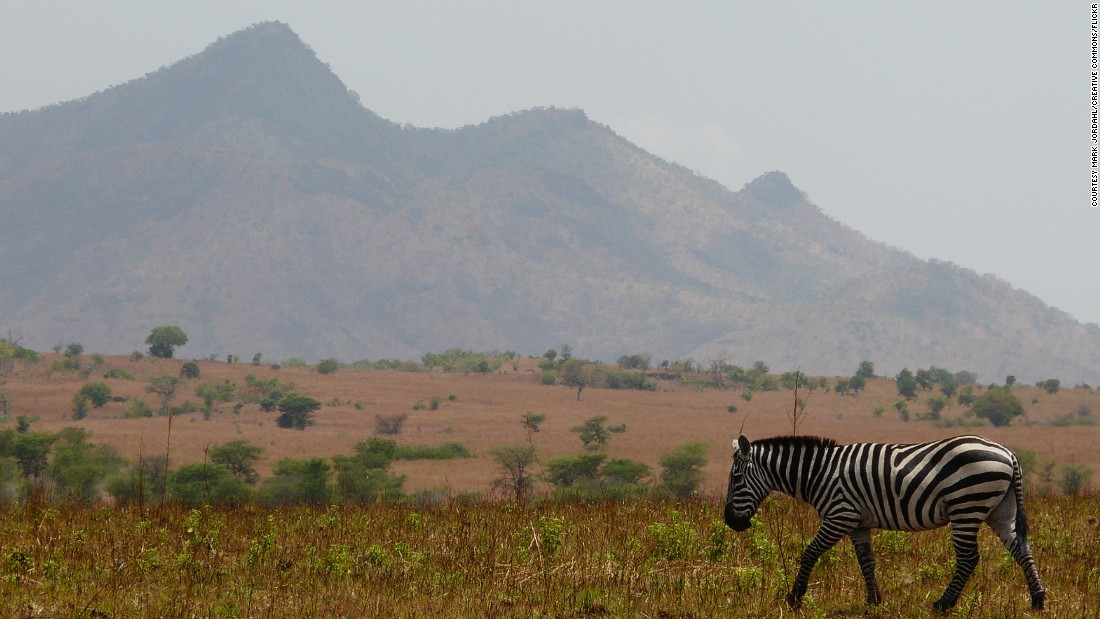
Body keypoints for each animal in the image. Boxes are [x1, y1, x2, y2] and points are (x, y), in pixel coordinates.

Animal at [726, 433, 1042, 611]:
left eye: (736, 478)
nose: (730, 522)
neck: (818, 473)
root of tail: (1007, 453)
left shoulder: (840, 514)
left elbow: (810, 553)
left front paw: (794, 598)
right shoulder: (858, 523)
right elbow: (866, 561)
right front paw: (874, 600)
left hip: (966, 505)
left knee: (968, 558)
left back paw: (943, 604)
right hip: (999, 509)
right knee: (1022, 550)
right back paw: (1038, 600)